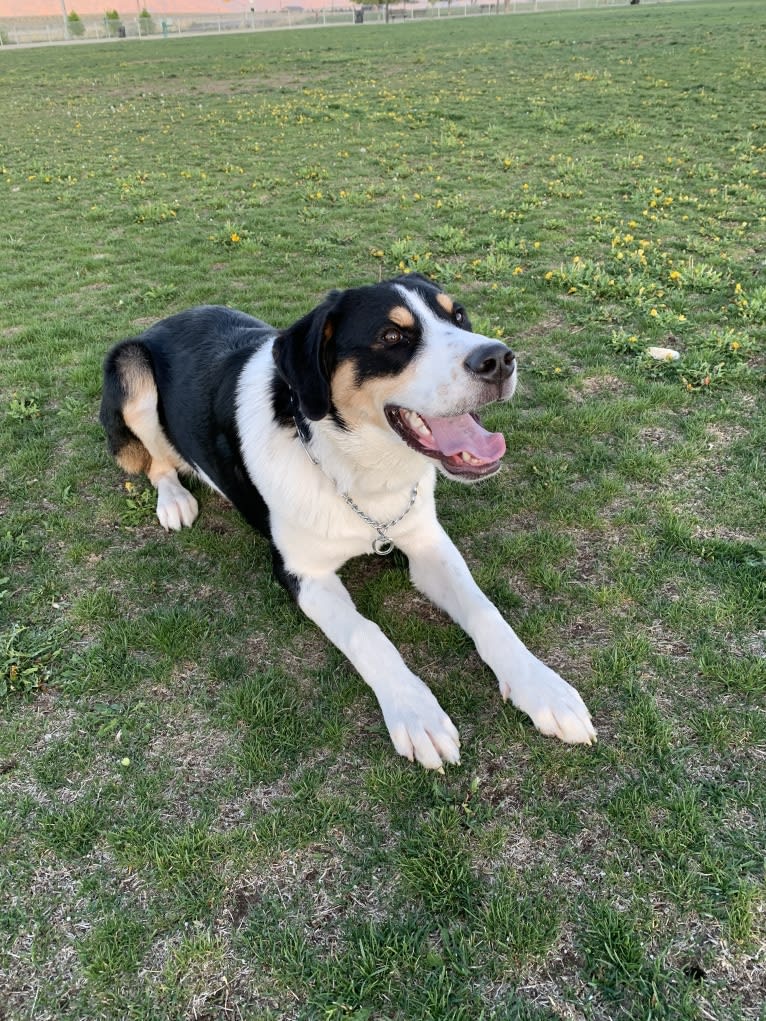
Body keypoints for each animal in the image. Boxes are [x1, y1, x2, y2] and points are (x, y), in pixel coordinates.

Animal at [100, 275, 592, 767]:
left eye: (459, 317)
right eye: (391, 337)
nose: (498, 359)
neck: (359, 472)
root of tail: (169, 319)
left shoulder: (427, 542)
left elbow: (485, 610)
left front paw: (542, 687)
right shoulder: (303, 573)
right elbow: (366, 634)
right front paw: (416, 712)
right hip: (133, 375)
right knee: (156, 464)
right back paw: (174, 501)